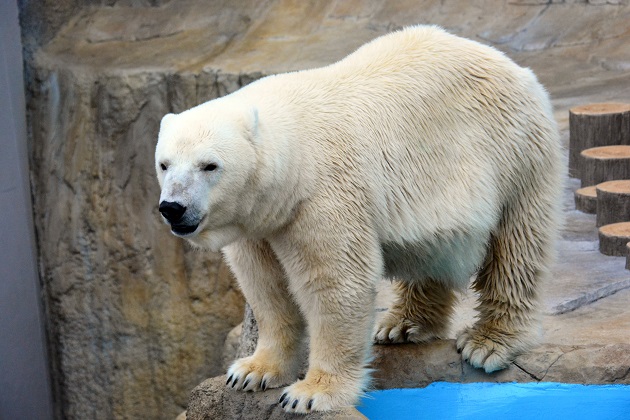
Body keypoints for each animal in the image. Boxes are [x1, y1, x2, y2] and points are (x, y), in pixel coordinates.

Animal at [156, 26, 564, 414]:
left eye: (209, 165)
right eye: (164, 164)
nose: (172, 207)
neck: (292, 157)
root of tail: (514, 67)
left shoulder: (323, 195)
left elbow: (336, 283)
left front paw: (311, 393)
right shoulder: (259, 219)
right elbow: (265, 284)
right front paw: (252, 371)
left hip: (512, 152)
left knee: (516, 246)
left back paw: (488, 342)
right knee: (434, 248)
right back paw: (402, 324)